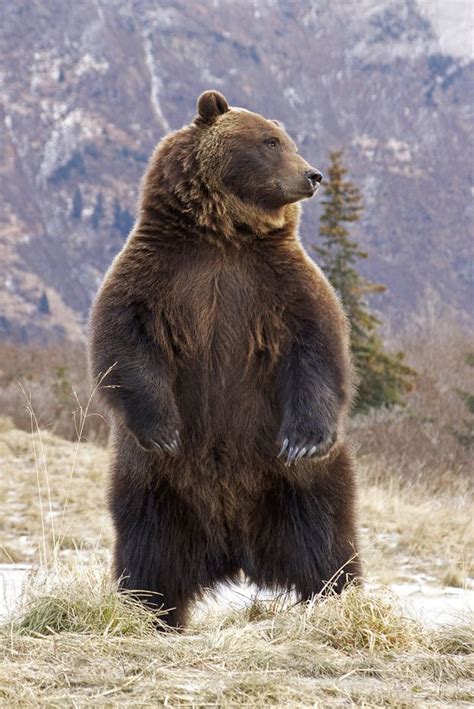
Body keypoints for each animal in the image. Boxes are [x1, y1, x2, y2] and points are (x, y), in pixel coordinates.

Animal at [89, 88, 362, 624]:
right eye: (270, 141)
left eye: (286, 139)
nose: (313, 175)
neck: (223, 234)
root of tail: (234, 550)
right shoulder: (158, 272)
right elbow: (124, 339)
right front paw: (165, 429)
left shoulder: (278, 282)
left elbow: (318, 345)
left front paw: (303, 439)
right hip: (154, 485)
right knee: (147, 548)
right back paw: (148, 612)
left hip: (296, 485)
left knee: (326, 539)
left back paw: (339, 602)